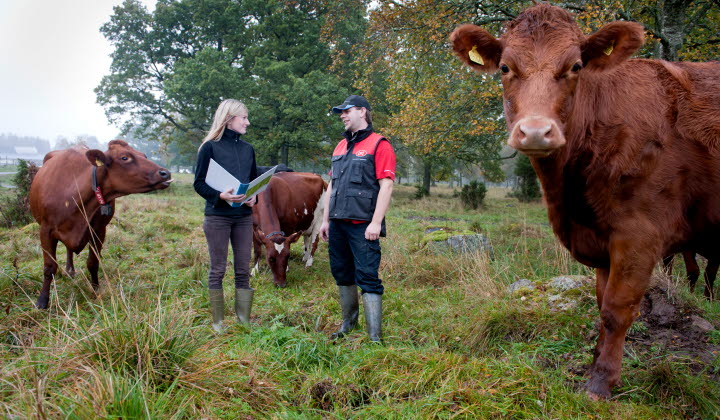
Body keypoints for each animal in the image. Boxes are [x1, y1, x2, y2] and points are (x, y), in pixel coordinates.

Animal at [30, 141, 174, 308]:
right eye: (124, 157)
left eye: (144, 155)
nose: (165, 173)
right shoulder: (45, 230)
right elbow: (49, 268)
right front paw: (42, 301)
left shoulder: (99, 231)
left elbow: (93, 263)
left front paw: (95, 290)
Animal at [450, 4, 720, 400]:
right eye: (505, 68)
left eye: (576, 66)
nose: (535, 131)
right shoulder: (601, 241)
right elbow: (600, 302)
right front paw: (594, 363)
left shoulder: (640, 236)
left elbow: (616, 310)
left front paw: (602, 381)